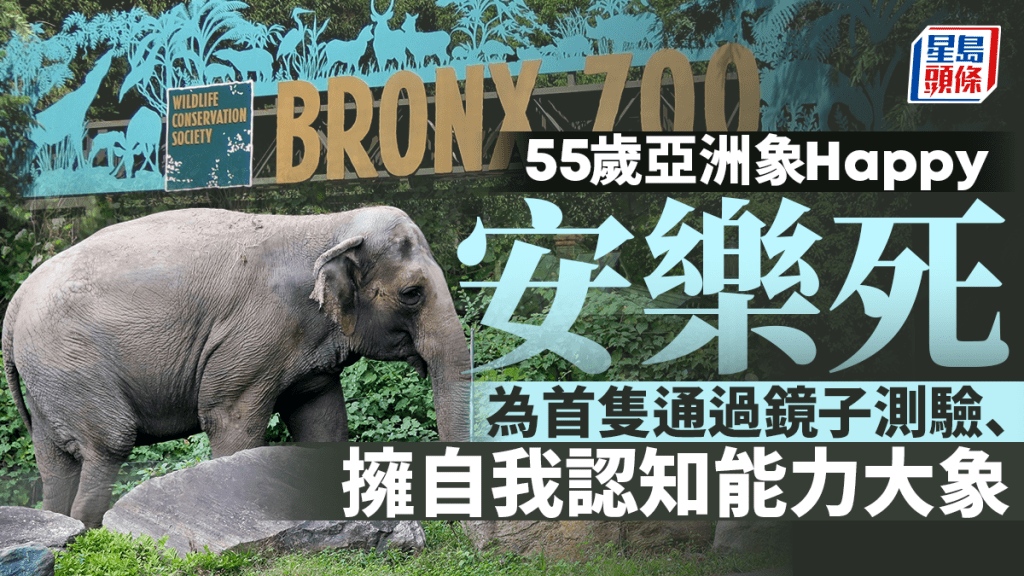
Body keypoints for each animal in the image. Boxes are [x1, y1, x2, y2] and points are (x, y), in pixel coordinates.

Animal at [2, 207, 471, 528]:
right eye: (412, 293)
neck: (328, 226)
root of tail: (16, 303)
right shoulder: (254, 336)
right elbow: (231, 420)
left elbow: (323, 422)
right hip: (71, 363)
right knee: (109, 445)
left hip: (48, 378)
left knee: (54, 463)